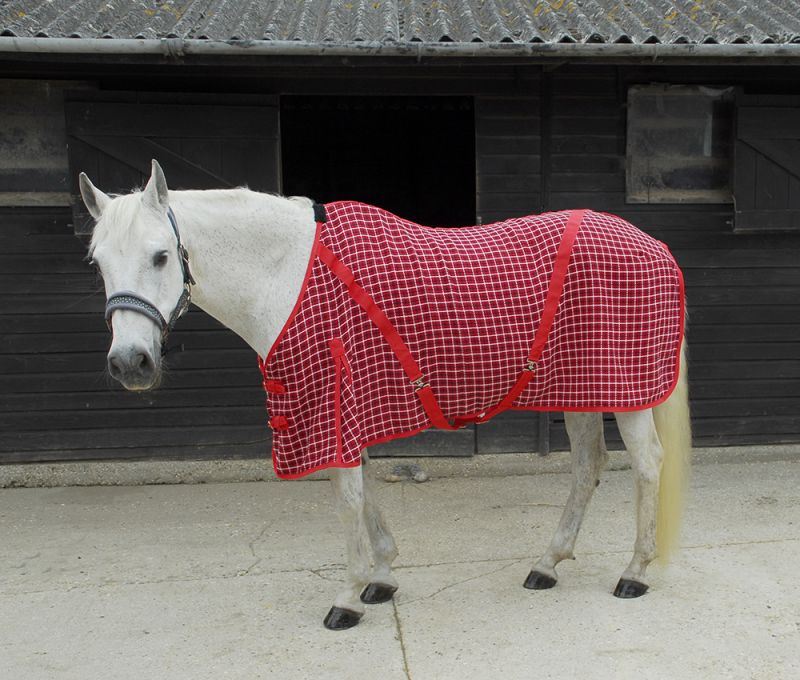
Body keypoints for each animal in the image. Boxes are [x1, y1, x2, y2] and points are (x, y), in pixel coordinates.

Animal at [79, 159, 690, 630]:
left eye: (161, 255)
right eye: (98, 262)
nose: (130, 363)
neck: (289, 275)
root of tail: (657, 247)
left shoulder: (331, 405)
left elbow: (348, 496)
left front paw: (348, 597)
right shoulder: (352, 410)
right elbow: (367, 486)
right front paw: (381, 578)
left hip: (628, 392)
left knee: (646, 464)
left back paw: (634, 572)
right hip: (579, 389)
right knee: (588, 464)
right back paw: (547, 564)